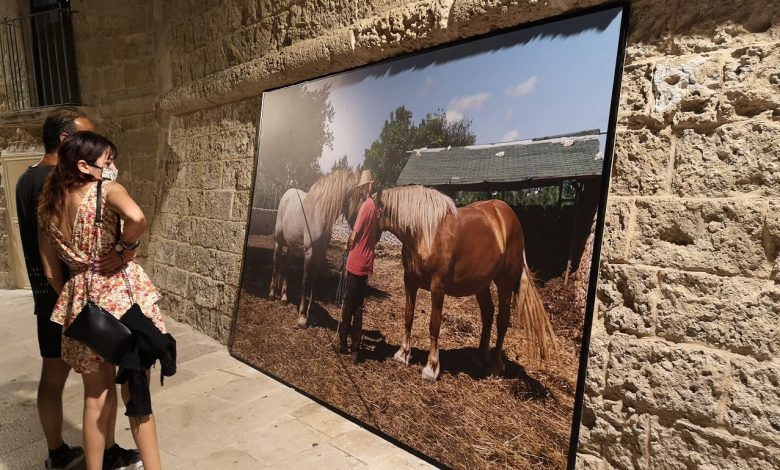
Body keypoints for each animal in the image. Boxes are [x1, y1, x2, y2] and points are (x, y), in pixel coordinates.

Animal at [269, 169, 361, 328]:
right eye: (359, 197)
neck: (319, 217)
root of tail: (287, 193)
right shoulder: (309, 253)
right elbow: (305, 282)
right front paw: (301, 317)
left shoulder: (320, 254)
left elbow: (314, 282)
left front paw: (309, 312)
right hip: (278, 242)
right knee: (276, 263)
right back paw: (272, 294)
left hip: (292, 246)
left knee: (286, 267)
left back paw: (284, 296)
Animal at [376, 185, 558, 381]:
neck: (425, 232)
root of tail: (509, 216)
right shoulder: (409, 281)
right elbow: (408, 315)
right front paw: (402, 354)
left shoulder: (437, 287)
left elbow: (434, 324)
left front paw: (431, 368)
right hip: (481, 284)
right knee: (488, 314)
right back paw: (481, 357)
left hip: (504, 283)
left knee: (502, 320)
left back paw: (495, 366)